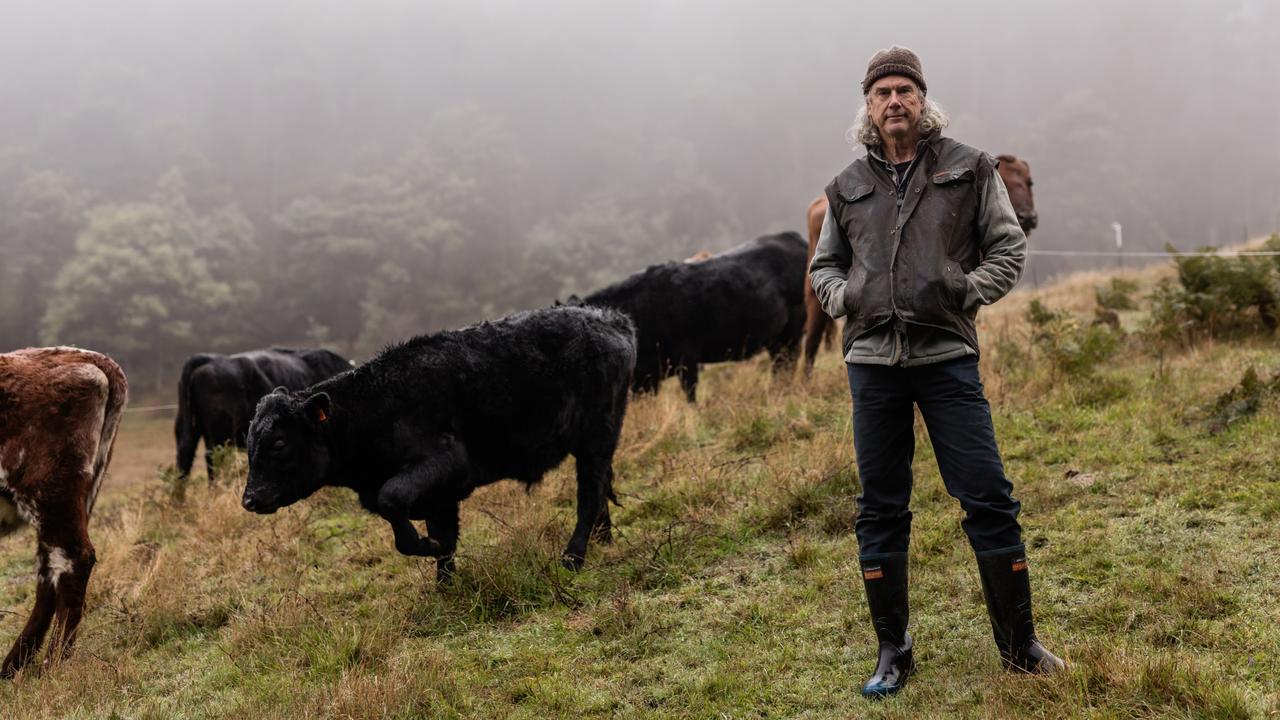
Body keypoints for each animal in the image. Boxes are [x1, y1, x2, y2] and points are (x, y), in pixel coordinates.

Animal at [0, 345, 128, 676]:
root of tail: (86, 356)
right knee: (50, 573)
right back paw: (15, 665)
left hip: (51, 492)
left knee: (74, 560)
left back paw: (52, 662)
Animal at [239, 304, 634, 579]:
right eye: (249, 443)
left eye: (279, 444)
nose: (250, 499)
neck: (376, 408)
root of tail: (610, 318)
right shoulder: (439, 496)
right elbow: (445, 540)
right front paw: (445, 587)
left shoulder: (446, 463)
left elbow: (393, 501)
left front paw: (426, 547)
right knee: (600, 492)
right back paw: (602, 542)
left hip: (596, 438)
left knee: (589, 497)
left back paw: (573, 558)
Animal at [581, 229, 808, 399]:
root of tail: (791, 236)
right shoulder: (646, 376)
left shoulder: (686, 356)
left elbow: (690, 394)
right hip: (776, 339)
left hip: (792, 333)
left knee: (787, 364)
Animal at [798, 154, 1039, 371]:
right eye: (1005, 181)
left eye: (1029, 182)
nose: (1027, 217)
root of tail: (819, 204)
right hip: (816, 295)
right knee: (811, 341)